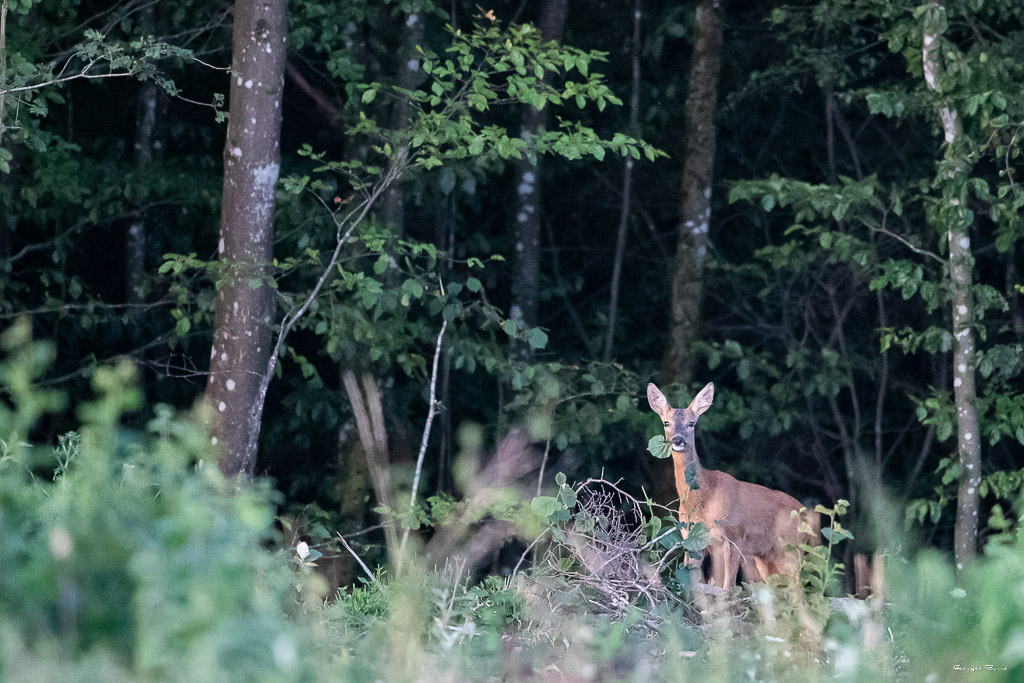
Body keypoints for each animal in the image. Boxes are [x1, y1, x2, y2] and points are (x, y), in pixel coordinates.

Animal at [647, 382, 819, 589]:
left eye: (691, 423)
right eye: (666, 423)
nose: (678, 440)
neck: (704, 498)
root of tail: (805, 513)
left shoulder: (734, 536)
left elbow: (727, 588)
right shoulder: (692, 538)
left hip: (791, 550)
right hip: (766, 559)